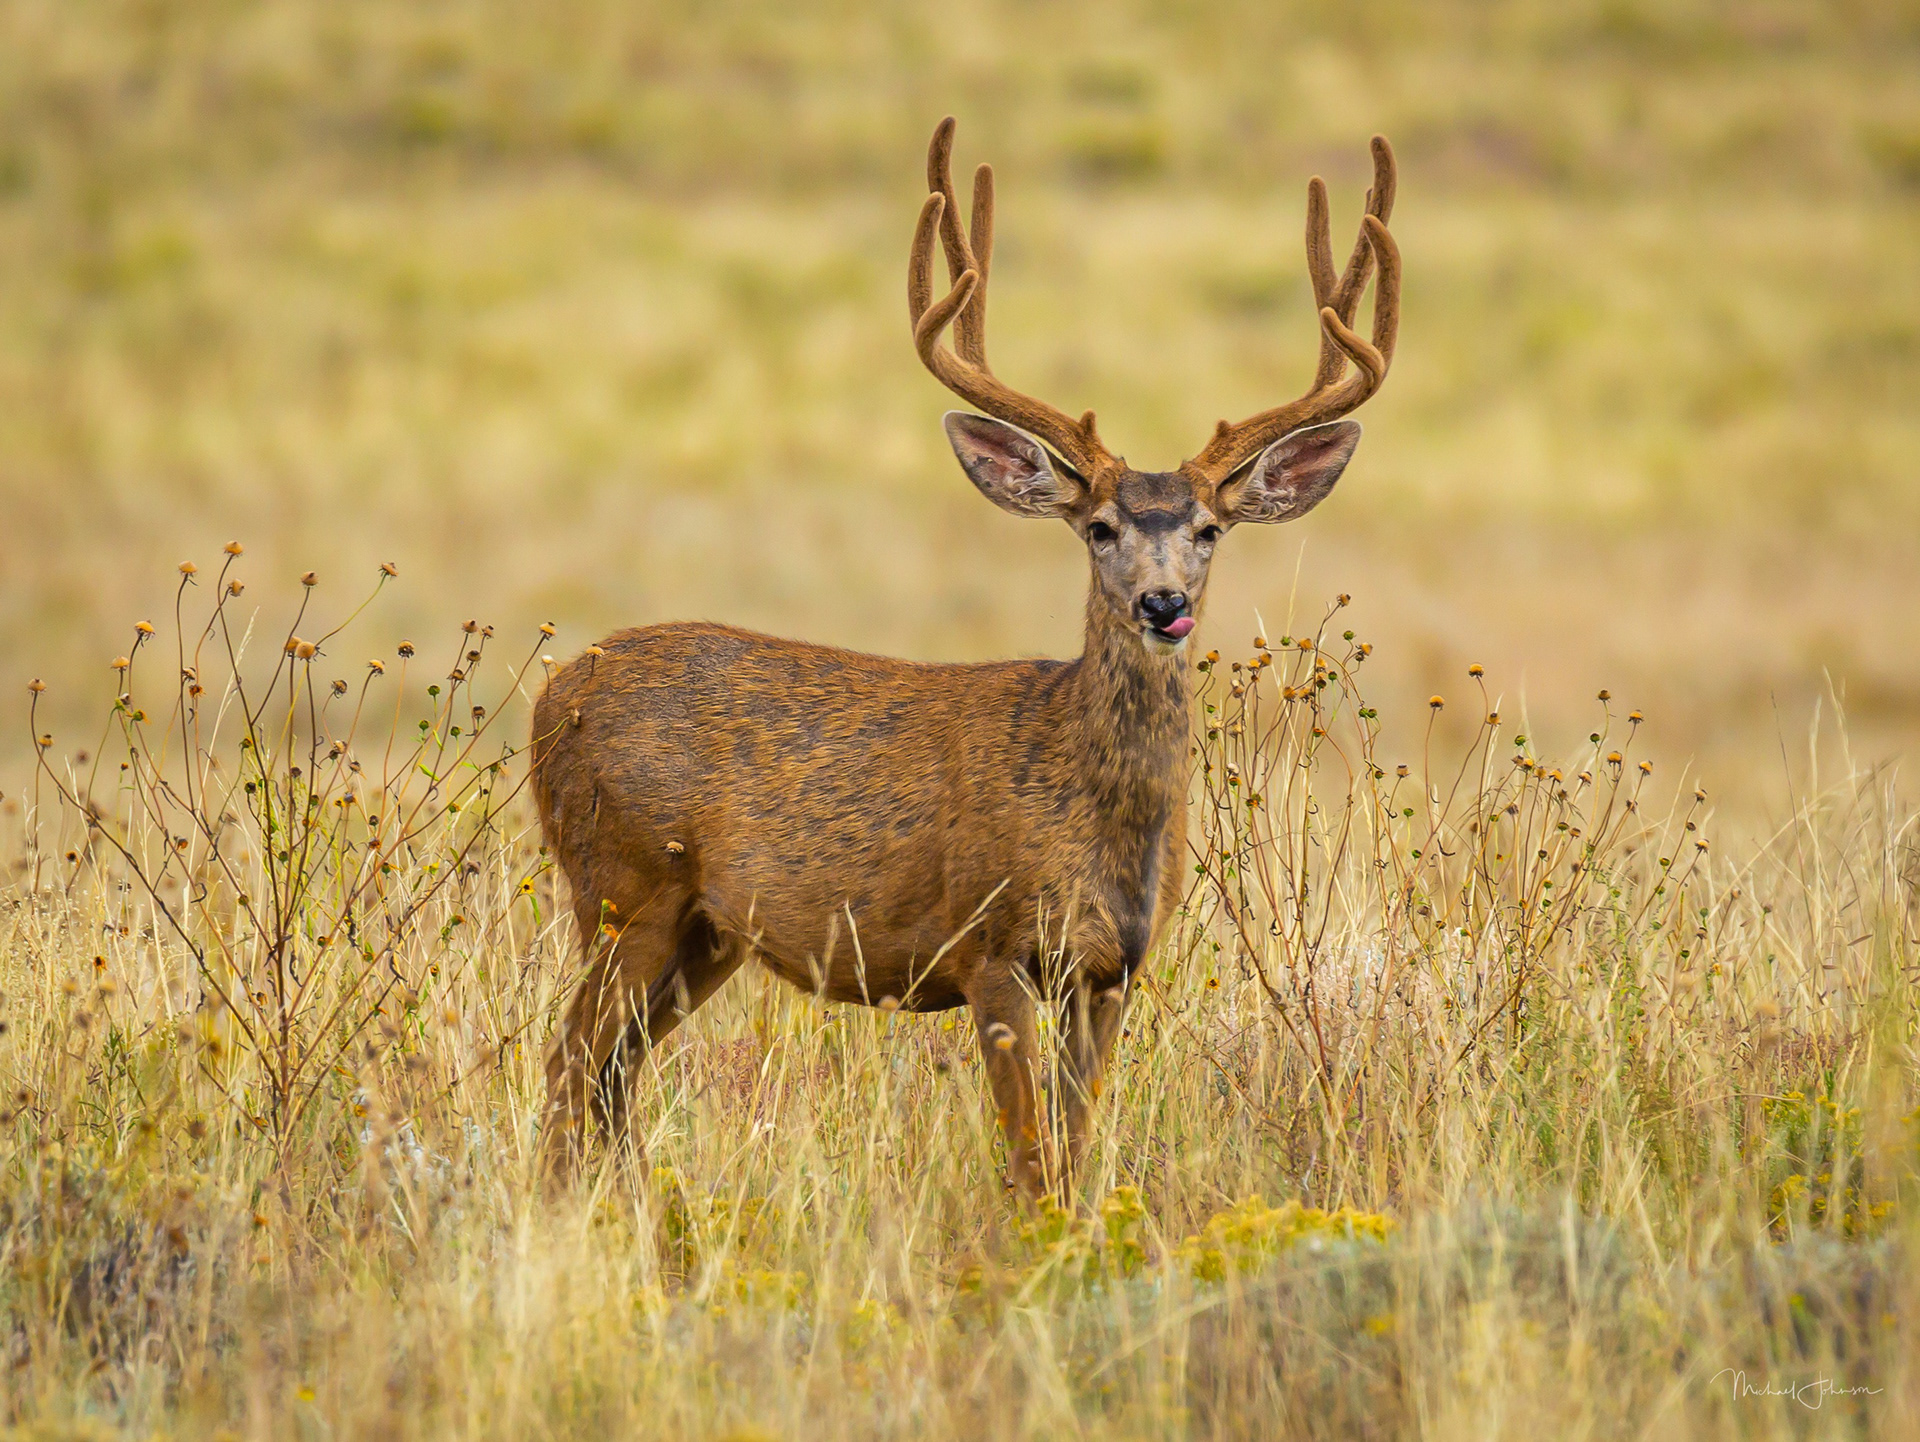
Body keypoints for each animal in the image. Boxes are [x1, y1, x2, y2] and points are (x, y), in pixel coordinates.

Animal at [531, 117, 1400, 1199]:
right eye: (1100, 527)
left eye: (1207, 530)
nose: (1162, 604)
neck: (1093, 814)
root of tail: (550, 693)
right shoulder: (993, 942)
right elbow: (1028, 1156)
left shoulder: (1111, 968)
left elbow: (1074, 1146)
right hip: (625, 882)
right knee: (569, 1064)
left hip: (704, 927)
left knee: (612, 1073)